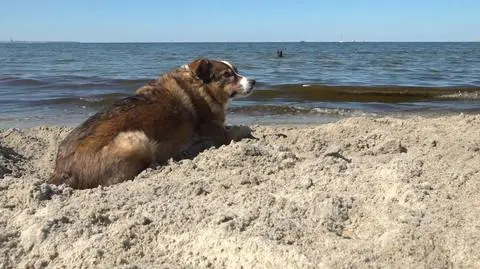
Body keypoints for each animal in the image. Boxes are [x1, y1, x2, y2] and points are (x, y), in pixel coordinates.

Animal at [49, 58, 255, 188]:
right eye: (227, 75)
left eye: (236, 70)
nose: (254, 81)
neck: (201, 86)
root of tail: (60, 172)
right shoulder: (218, 133)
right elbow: (239, 130)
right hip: (135, 138)